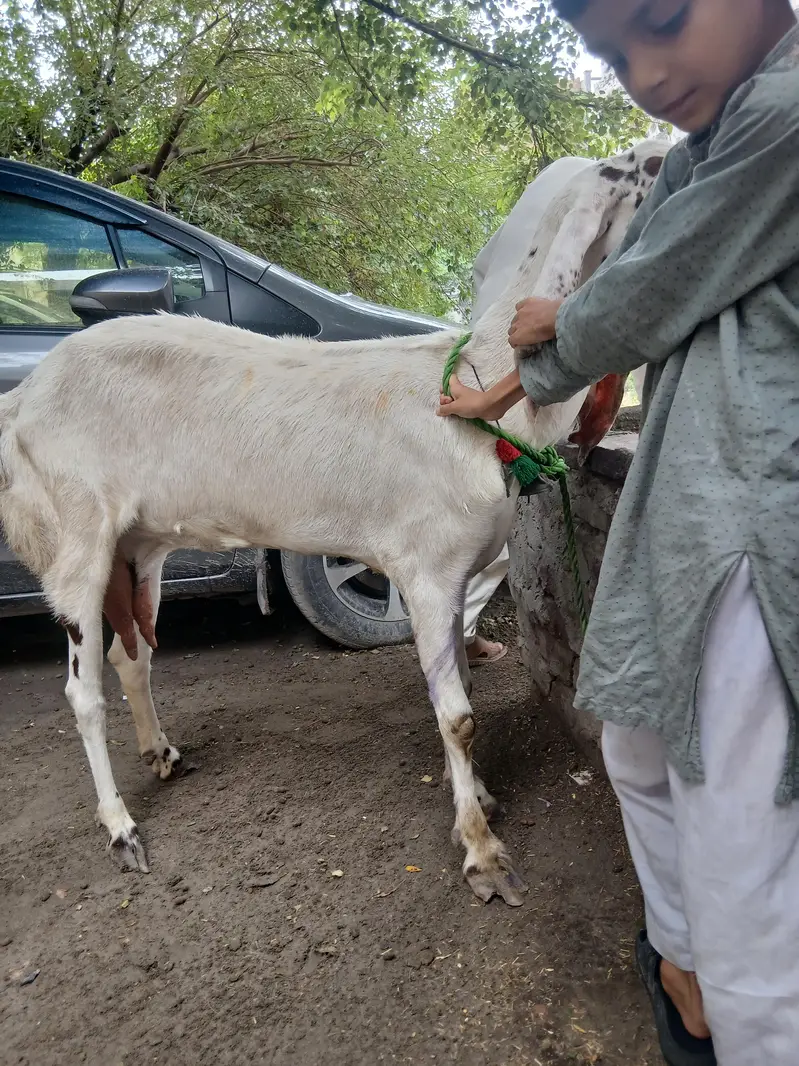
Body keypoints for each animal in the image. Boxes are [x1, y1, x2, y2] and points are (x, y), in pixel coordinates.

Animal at [0, 139, 668, 905]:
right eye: (641, 171)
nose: (673, 153)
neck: (471, 383)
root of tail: (24, 400)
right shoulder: (425, 569)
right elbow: (458, 716)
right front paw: (482, 854)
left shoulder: (456, 573)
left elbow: (461, 691)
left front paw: (479, 802)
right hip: (75, 531)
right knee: (82, 688)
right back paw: (120, 829)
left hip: (139, 542)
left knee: (130, 653)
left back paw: (162, 753)